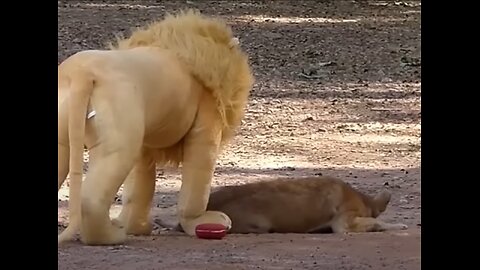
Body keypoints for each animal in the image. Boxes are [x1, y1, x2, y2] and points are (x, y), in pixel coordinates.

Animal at [58, 10, 255, 245]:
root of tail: (82, 73)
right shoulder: (207, 117)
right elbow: (198, 175)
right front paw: (202, 221)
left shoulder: (145, 140)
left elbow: (139, 185)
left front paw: (135, 227)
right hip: (120, 131)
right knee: (92, 198)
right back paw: (112, 236)